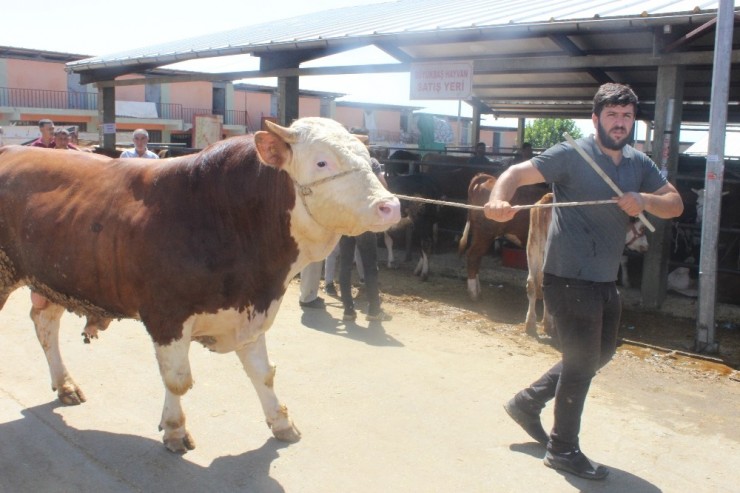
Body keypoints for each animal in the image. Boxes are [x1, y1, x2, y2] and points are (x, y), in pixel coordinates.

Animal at [0, 117, 398, 452]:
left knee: (45, 326)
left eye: (369, 159)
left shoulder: (249, 311)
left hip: (54, 276)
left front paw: (281, 422)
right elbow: (178, 380)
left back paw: (65, 384)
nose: (390, 205)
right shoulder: (167, 315)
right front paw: (175, 429)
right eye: (321, 162)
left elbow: (263, 374)